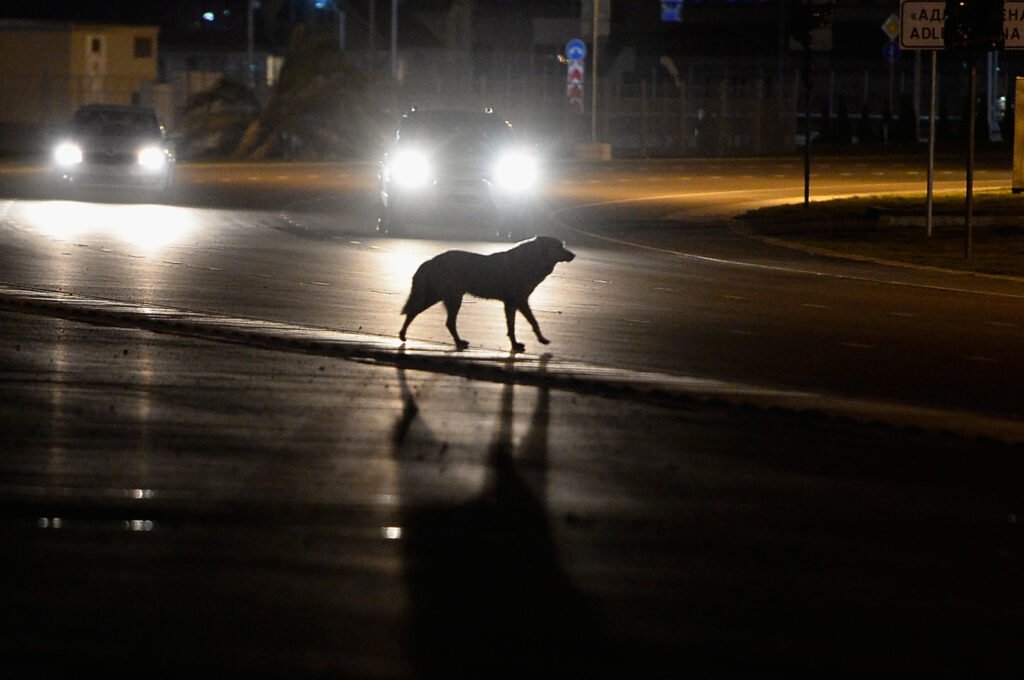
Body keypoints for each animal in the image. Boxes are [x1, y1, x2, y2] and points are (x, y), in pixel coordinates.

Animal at [399, 235, 577, 352]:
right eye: (559, 247)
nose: (573, 255)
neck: (530, 261)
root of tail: (430, 261)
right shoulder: (520, 301)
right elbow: (533, 322)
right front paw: (540, 340)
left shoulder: (511, 304)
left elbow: (511, 327)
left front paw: (515, 345)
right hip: (446, 298)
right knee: (435, 318)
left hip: (439, 297)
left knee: (422, 315)